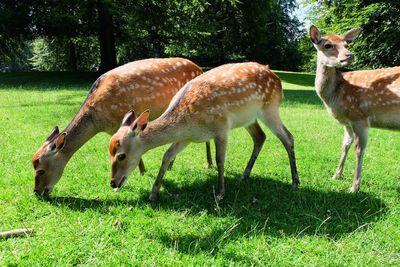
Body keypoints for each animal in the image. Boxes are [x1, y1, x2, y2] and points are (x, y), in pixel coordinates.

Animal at [32, 58, 212, 197]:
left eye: (40, 170)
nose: (36, 192)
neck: (98, 119)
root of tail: (198, 67)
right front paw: (142, 172)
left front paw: (140, 172)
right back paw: (171, 165)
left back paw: (209, 164)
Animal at [108, 62, 298, 201]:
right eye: (108, 153)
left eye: (121, 155)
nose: (112, 183)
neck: (188, 121)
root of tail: (276, 78)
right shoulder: (186, 138)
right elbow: (167, 155)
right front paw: (153, 193)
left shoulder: (222, 127)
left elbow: (220, 160)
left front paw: (220, 192)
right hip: (249, 118)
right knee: (260, 137)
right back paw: (245, 175)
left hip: (270, 107)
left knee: (288, 137)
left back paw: (295, 182)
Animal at [310, 25, 400, 193]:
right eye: (327, 45)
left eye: (346, 44)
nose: (350, 55)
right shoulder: (347, 122)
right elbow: (345, 145)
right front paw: (336, 175)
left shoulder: (360, 117)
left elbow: (359, 150)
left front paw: (354, 187)